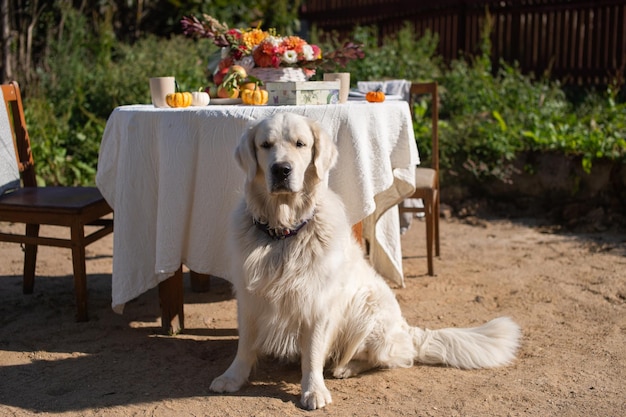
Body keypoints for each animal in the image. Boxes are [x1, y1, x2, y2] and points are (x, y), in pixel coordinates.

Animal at [207, 112, 520, 408]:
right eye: (265, 145)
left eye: (300, 144)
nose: (281, 169)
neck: (282, 233)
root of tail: (407, 330)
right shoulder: (250, 296)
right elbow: (245, 345)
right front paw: (232, 377)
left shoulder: (319, 303)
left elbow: (313, 353)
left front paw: (314, 390)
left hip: (368, 309)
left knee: (391, 358)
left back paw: (347, 367)